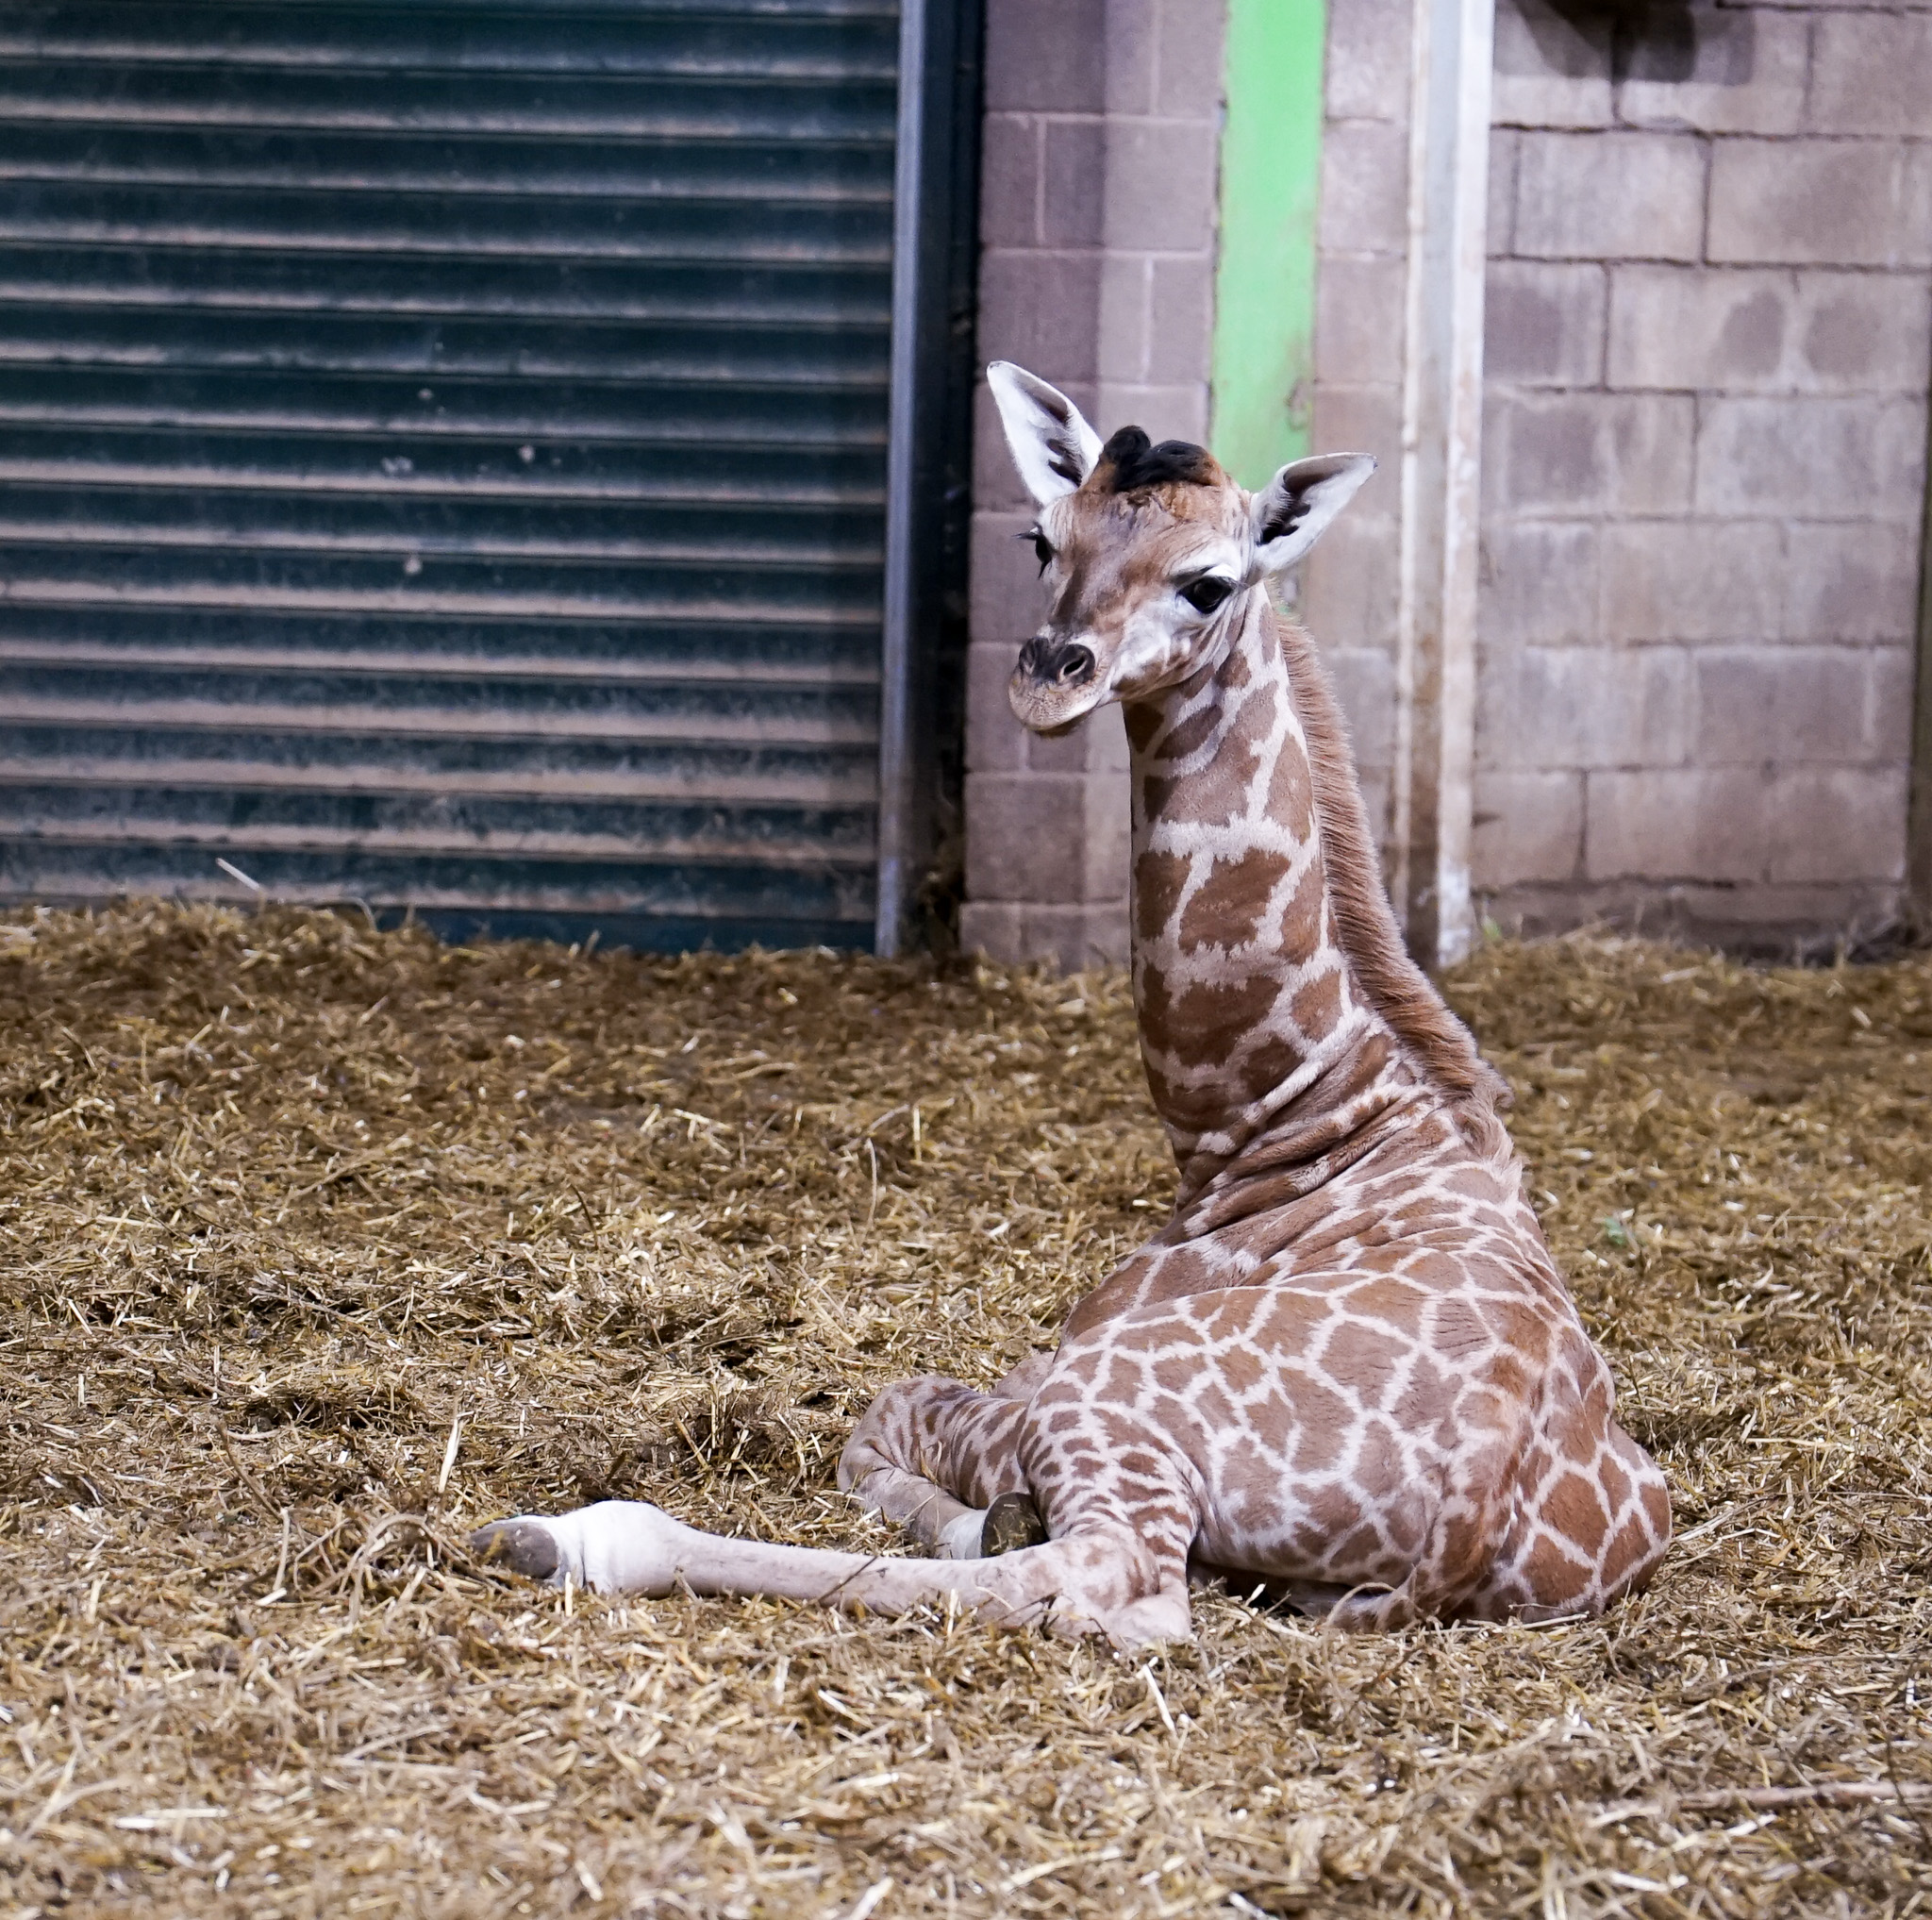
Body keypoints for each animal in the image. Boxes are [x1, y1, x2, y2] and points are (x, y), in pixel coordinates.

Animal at [471, 362, 1676, 1645]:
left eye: (1209, 581)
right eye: (1041, 537)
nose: (1047, 675)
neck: (1291, 1119)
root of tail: (1468, 1514)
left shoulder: (1043, 1369)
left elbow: (882, 1416)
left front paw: (972, 1513)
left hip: (1102, 1410)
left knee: (1112, 1585)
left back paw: (566, 1535)